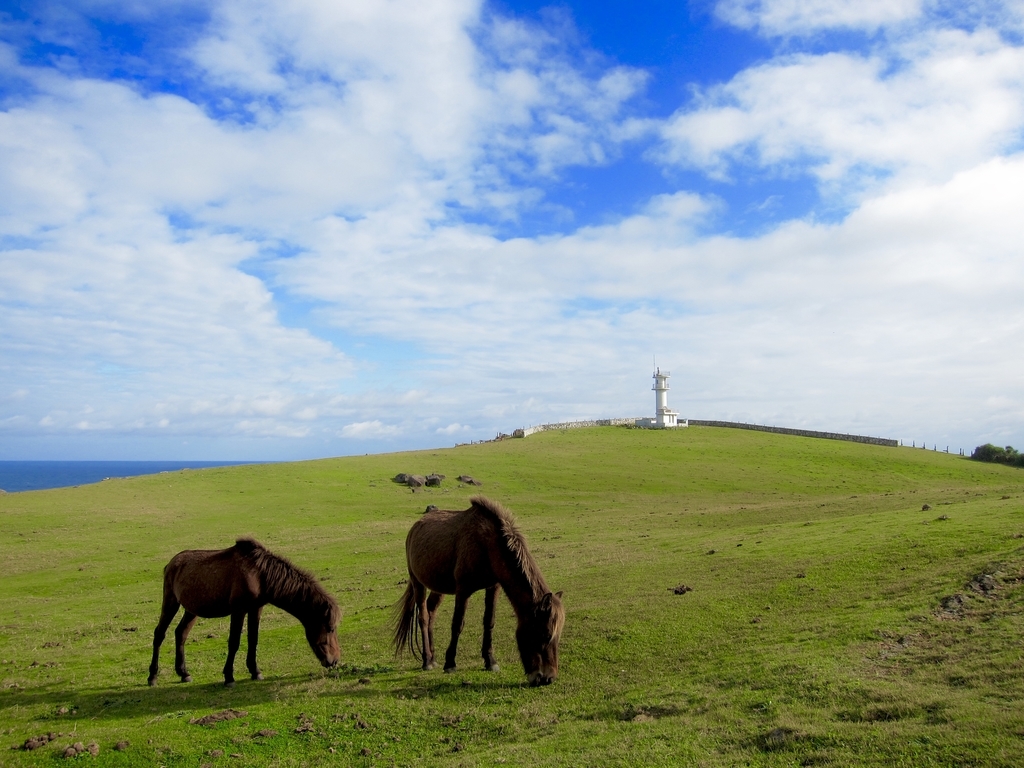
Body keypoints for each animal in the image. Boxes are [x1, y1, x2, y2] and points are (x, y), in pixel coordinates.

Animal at [147, 536, 339, 688]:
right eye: (330, 629)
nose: (335, 660)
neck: (260, 575)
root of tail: (172, 563)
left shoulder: (256, 609)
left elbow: (253, 639)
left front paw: (255, 671)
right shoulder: (238, 610)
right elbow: (234, 642)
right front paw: (229, 677)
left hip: (191, 609)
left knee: (181, 633)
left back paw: (184, 673)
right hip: (171, 602)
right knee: (159, 634)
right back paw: (152, 676)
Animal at [393, 495, 569, 688]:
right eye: (546, 635)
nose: (548, 678)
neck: (487, 545)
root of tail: (415, 527)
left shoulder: (493, 587)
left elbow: (489, 622)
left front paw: (490, 661)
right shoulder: (463, 590)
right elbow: (457, 624)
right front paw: (450, 664)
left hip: (438, 588)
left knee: (431, 613)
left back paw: (433, 657)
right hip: (418, 583)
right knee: (423, 617)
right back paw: (427, 661)